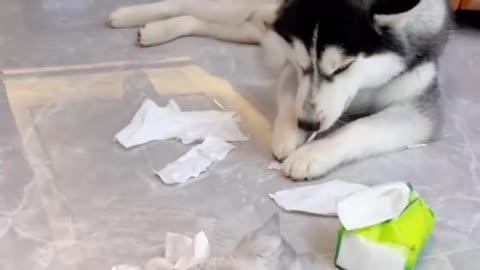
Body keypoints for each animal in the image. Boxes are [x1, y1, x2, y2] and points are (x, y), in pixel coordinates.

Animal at [110, 1, 452, 181]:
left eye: (343, 67)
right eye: (303, 65)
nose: (309, 124)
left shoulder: (418, 108)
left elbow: (360, 127)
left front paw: (312, 153)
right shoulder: (290, 67)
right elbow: (291, 100)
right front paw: (289, 137)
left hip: (251, 28)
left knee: (198, 19)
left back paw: (158, 29)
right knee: (187, 4)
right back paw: (130, 15)